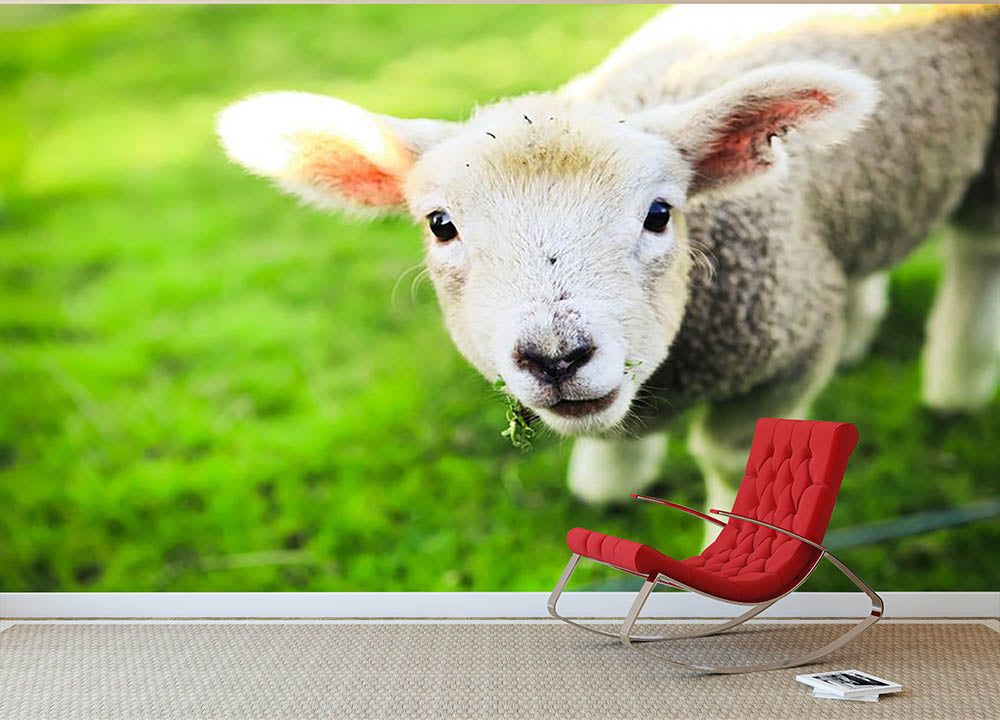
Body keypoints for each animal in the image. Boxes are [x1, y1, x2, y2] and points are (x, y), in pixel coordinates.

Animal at [217, 4, 1000, 532]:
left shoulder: (785, 357)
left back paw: (955, 385)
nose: (556, 357)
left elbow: (732, 460)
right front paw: (606, 483)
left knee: (976, 255)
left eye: (659, 213)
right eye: (441, 226)